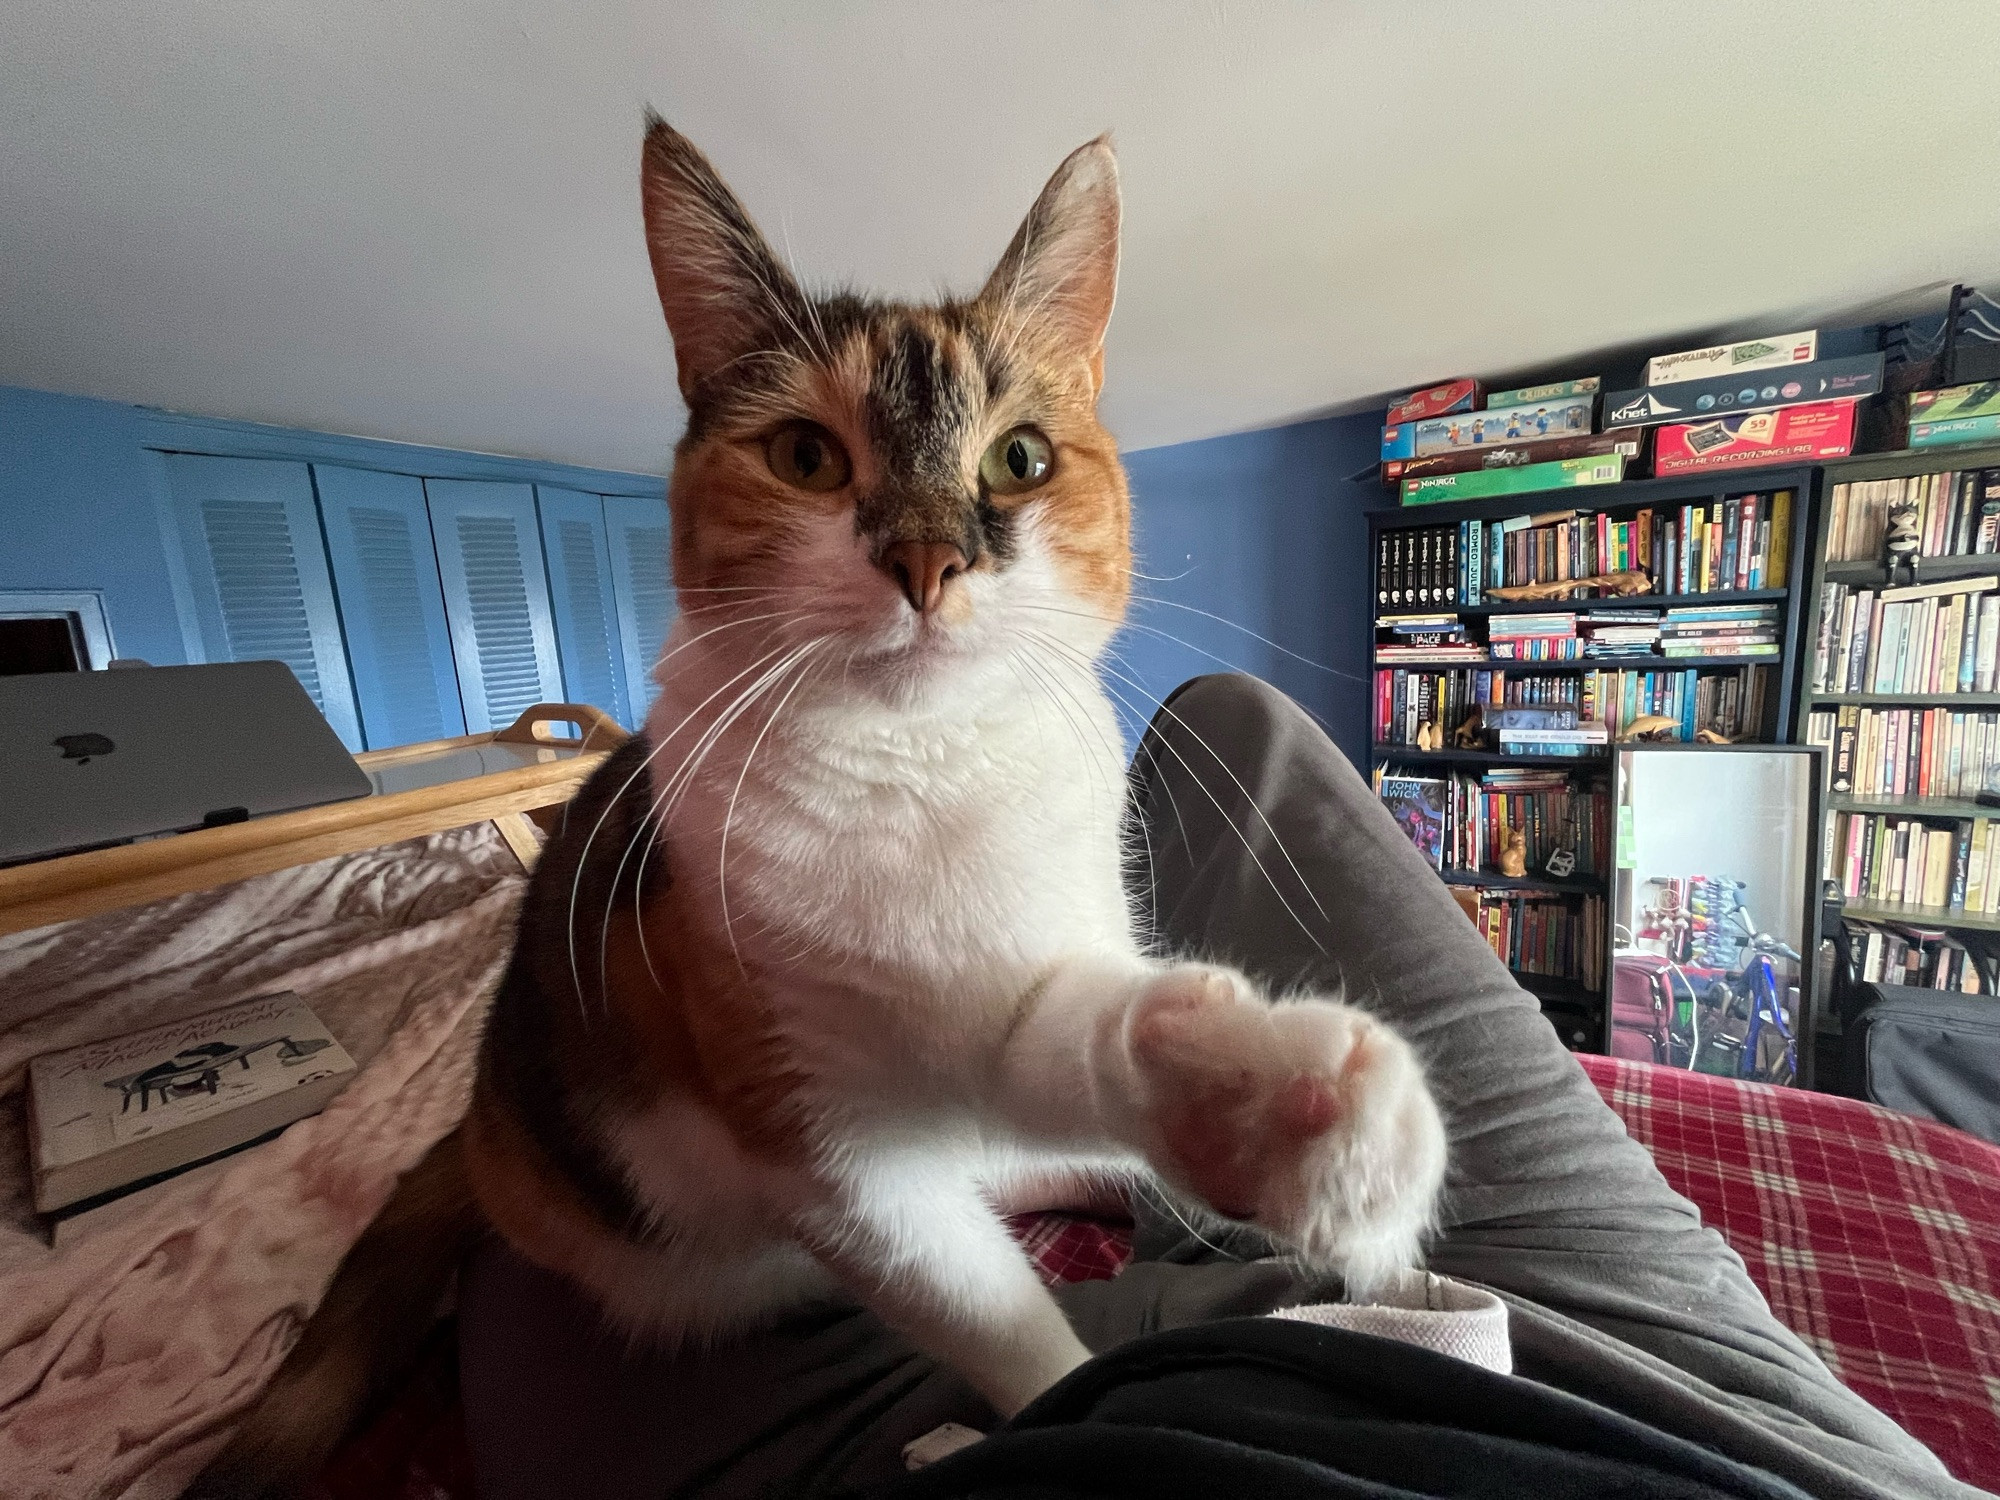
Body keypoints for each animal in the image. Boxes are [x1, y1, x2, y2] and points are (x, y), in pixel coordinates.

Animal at [195, 120, 1448, 1500]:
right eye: (805, 457)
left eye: (1019, 458)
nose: (926, 557)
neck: (920, 774)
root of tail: (474, 1130)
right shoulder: (836, 1159)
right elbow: (1001, 1327)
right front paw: (1057, 1401)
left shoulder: (1017, 992)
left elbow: (1074, 1039)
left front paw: (1262, 1105)